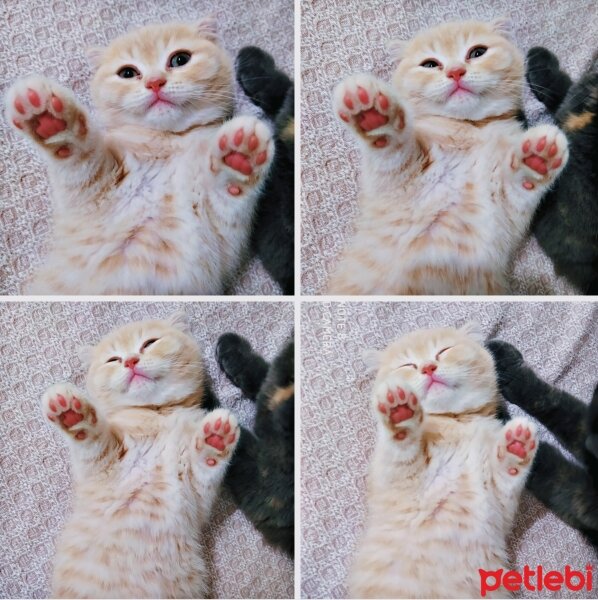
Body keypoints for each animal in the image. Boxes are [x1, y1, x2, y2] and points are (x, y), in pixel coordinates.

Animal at [4, 17, 276, 292]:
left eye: (180, 59)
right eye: (127, 73)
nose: (155, 82)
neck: (169, 142)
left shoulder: (215, 238)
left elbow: (225, 198)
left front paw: (240, 156)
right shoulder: (90, 198)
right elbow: (82, 161)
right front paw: (51, 121)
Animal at [42, 312, 239, 596]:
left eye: (149, 343)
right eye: (113, 359)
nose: (130, 360)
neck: (158, 414)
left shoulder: (194, 494)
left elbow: (205, 467)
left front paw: (216, 438)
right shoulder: (100, 466)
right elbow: (93, 443)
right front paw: (73, 414)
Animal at [332, 20, 572, 296]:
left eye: (477, 52)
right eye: (430, 64)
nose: (456, 72)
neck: (472, 128)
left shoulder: (504, 213)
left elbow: (518, 188)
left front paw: (537, 158)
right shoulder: (396, 184)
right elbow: (393, 154)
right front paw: (373, 115)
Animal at [346, 326, 540, 596]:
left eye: (443, 351)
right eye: (407, 364)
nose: (428, 367)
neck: (457, 421)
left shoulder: (498, 508)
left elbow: (506, 478)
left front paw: (517, 446)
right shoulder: (398, 480)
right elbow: (401, 451)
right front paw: (399, 413)